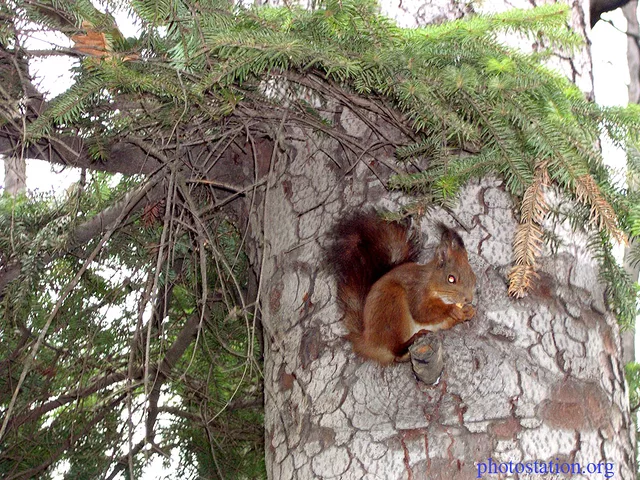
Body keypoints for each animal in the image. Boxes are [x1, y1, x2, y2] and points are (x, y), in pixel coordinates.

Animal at [328, 211, 477, 365]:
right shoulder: (417, 290)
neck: (433, 285)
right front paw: (451, 309)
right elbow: (421, 312)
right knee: (396, 348)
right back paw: (413, 339)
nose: (469, 299)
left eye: (473, 276)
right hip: (393, 305)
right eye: (451, 278)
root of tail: (368, 340)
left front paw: (468, 312)